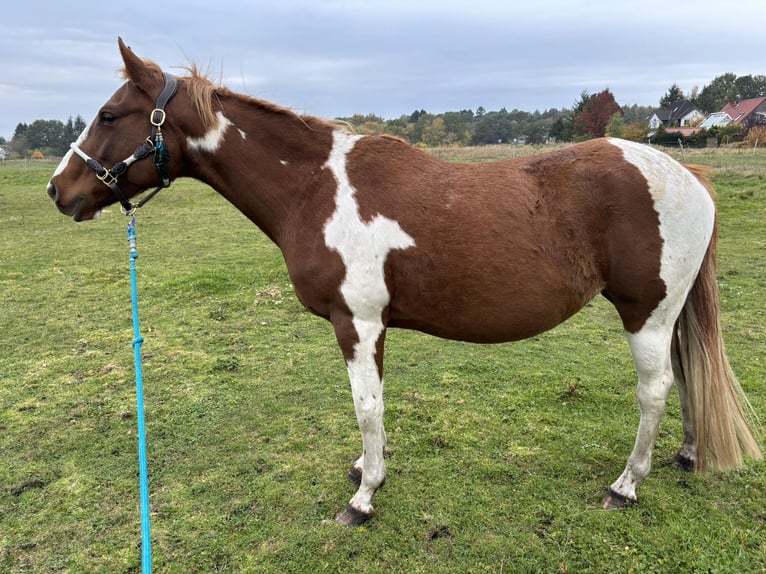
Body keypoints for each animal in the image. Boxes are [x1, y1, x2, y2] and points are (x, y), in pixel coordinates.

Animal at [46, 38, 760, 528]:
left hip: (646, 313)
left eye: (109, 115)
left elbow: (367, 406)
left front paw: (363, 498)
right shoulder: (373, 328)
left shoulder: (356, 324)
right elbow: (375, 407)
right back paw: (685, 456)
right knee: (687, 376)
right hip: (668, 316)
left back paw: (626, 484)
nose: (59, 190)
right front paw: (370, 469)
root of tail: (690, 174)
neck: (317, 189)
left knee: (655, 391)